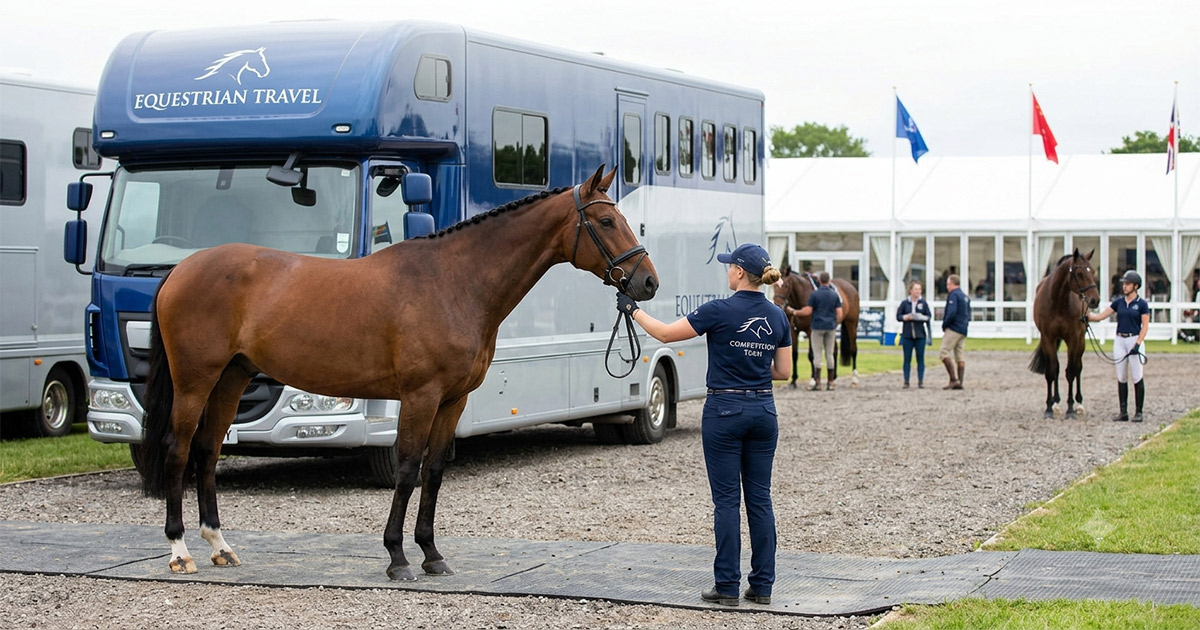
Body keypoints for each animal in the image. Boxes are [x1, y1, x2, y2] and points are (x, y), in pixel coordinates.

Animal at [137, 166, 658, 580]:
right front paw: (398, 558)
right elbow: (407, 469)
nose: (647, 281)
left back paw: (220, 546)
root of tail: (179, 270)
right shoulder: (420, 395)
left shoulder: (453, 401)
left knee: (207, 451)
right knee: (179, 450)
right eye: (606, 221)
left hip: (231, 378)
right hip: (194, 381)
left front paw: (432, 555)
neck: (453, 283)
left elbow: (435, 472)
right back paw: (179, 551)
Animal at [1029, 248, 1100, 419]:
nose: (1095, 300)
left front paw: (1070, 409)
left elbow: (1071, 372)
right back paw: (1056, 402)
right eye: (1080, 273)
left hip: (1081, 341)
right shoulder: (1048, 338)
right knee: (1057, 369)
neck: (1058, 301)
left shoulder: (1073, 339)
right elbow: (1051, 371)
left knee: (1078, 368)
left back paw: (1079, 404)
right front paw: (1049, 408)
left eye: (1093, 271)